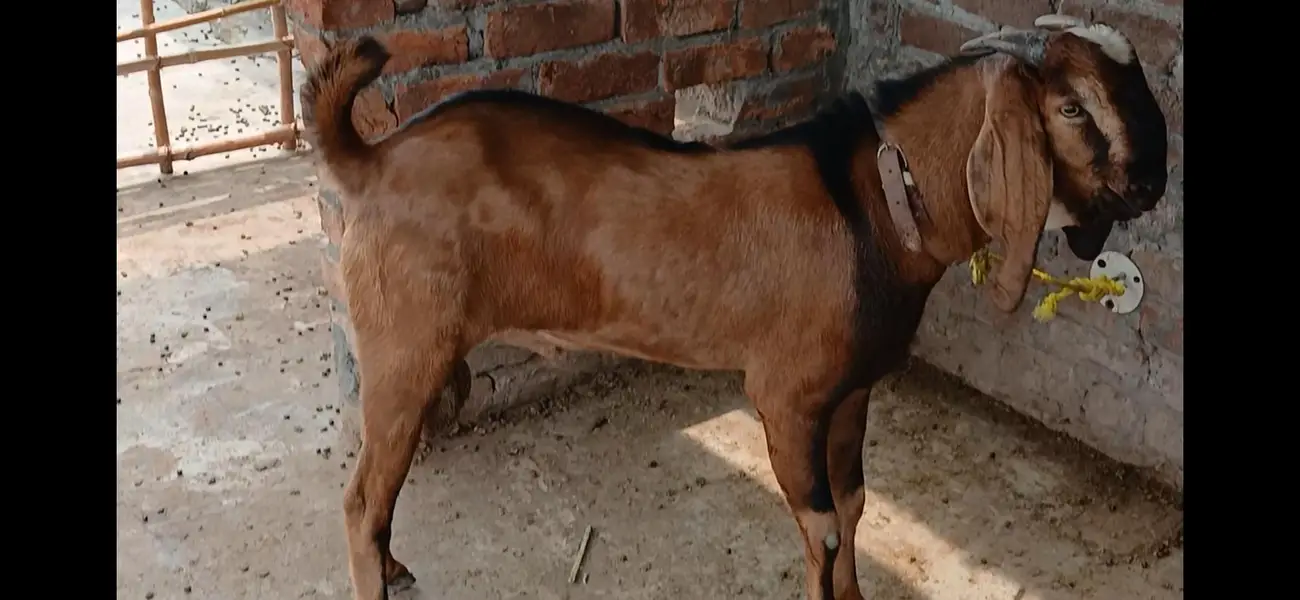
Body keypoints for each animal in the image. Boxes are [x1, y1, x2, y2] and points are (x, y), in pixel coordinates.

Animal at [300, 13, 1168, 600]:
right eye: (1073, 109)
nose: (1154, 181)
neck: (876, 205)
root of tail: (372, 158)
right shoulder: (786, 395)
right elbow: (822, 527)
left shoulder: (852, 390)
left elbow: (855, 505)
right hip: (404, 345)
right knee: (359, 498)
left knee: (380, 491)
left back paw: (396, 565)